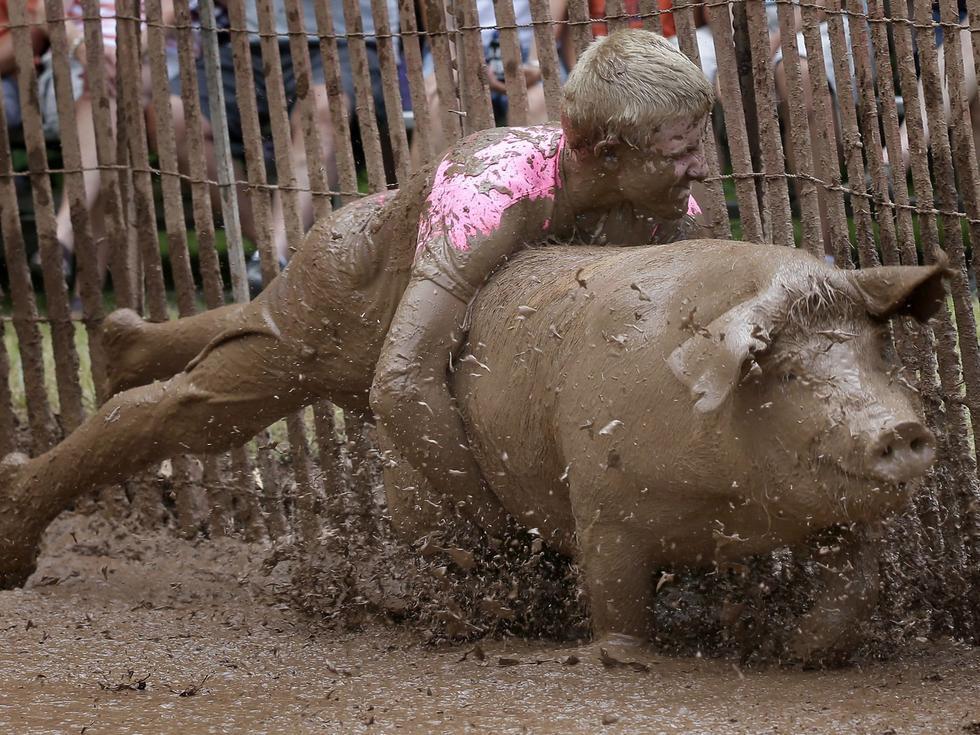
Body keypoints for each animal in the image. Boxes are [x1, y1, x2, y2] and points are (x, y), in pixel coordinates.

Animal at [384, 240, 948, 660]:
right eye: (789, 372)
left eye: (881, 353)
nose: (900, 430)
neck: (728, 499)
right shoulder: (604, 508)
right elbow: (618, 599)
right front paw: (616, 656)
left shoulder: (831, 516)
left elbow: (858, 586)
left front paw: (795, 649)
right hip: (420, 487)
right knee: (444, 555)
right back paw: (461, 628)